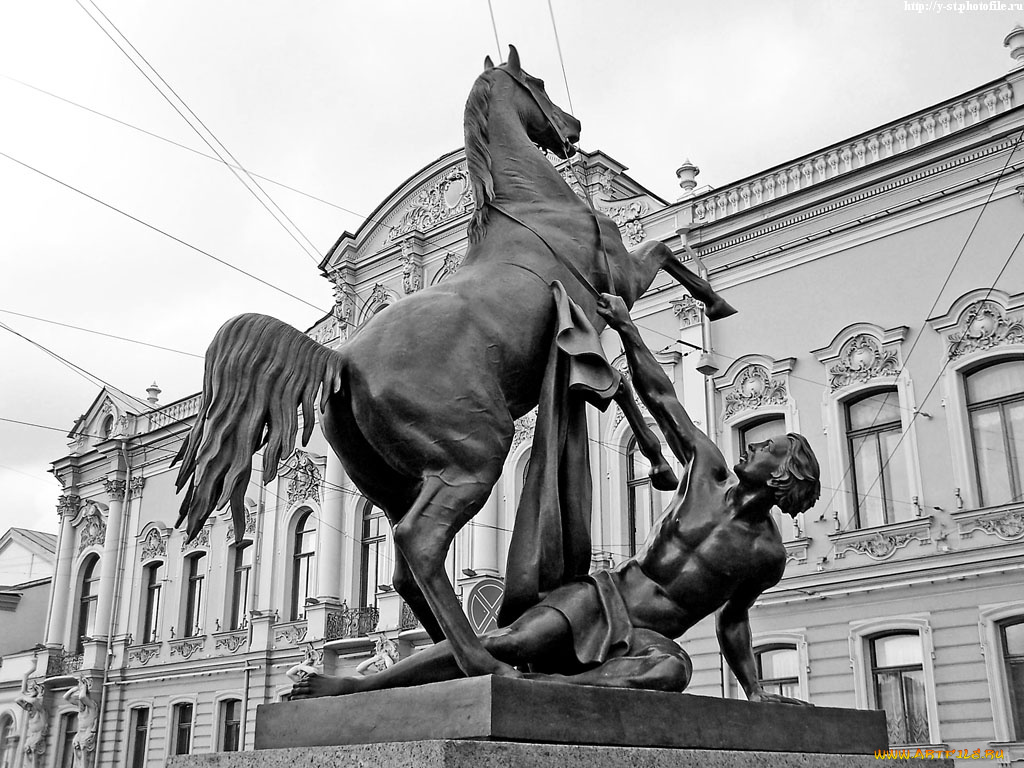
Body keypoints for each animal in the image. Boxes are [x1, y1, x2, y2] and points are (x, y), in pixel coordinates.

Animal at [178, 48, 737, 684]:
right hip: (476, 455)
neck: (532, 205)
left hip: (397, 482)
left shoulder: (591, 322)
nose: (571, 128)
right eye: (536, 82)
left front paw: (659, 458)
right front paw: (712, 303)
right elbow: (659, 265)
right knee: (417, 543)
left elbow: (618, 378)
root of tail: (339, 356)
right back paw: (485, 662)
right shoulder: (616, 282)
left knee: (401, 561)